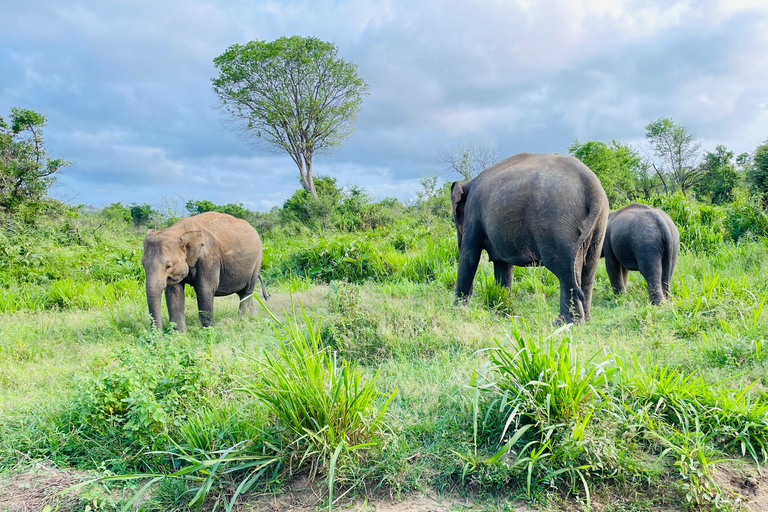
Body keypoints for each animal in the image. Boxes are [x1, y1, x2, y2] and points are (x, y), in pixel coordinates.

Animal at [452, 150, 608, 324]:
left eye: (453, 220)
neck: (468, 182)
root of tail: (591, 183)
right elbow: (503, 265)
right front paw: (501, 310)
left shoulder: (473, 212)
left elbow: (470, 257)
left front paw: (457, 310)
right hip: (598, 223)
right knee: (589, 268)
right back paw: (585, 320)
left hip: (559, 222)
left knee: (564, 269)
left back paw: (564, 322)